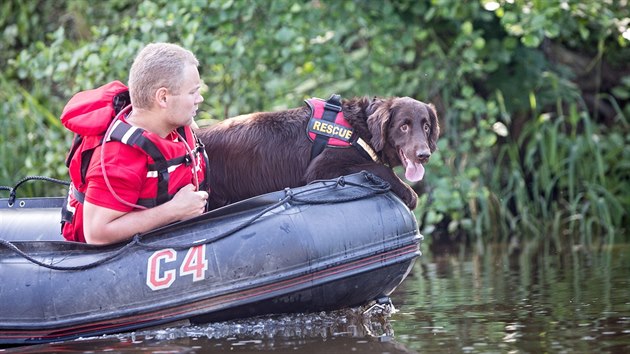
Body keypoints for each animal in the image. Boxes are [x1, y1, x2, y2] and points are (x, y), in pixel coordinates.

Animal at [198, 96, 440, 210]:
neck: (359, 128)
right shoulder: (321, 169)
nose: (423, 155)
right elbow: (378, 168)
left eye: (426, 126)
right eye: (404, 126)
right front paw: (409, 192)